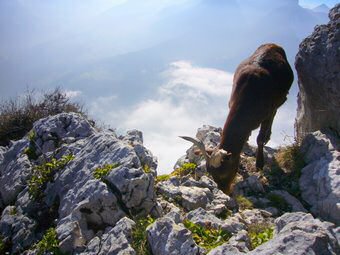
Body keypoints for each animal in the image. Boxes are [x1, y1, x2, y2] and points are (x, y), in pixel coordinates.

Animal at [182, 43, 294, 194]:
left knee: (275, 112)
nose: (225, 192)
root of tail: (273, 44)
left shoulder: (267, 112)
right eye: (211, 173)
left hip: (281, 98)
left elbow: (260, 138)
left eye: (225, 173)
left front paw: (259, 164)